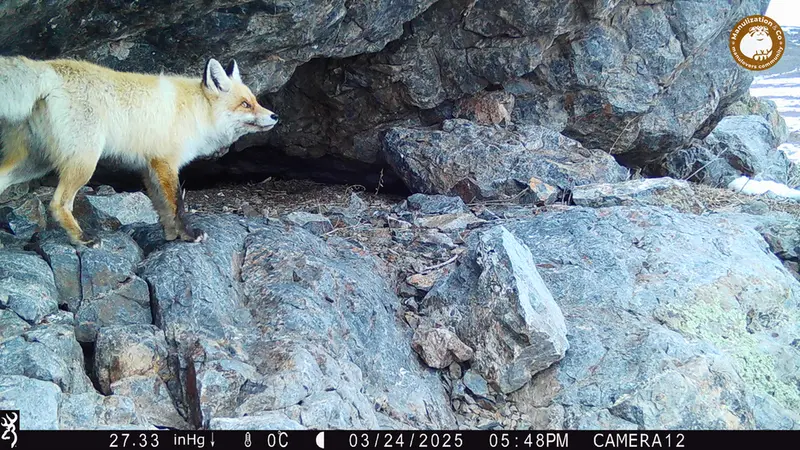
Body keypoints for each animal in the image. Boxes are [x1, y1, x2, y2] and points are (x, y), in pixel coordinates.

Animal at [0, 56, 278, 247]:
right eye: (245, 104)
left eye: (255, 101)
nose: (275, 116)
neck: (195, 110)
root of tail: (50, 65)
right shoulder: (166, 162)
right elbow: (177, 204)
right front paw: (189, 235)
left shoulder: (150, 166)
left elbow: (163, 208)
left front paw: (171, 236)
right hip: (84, 162)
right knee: (58, 203)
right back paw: (82, 238)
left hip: (35, 163)